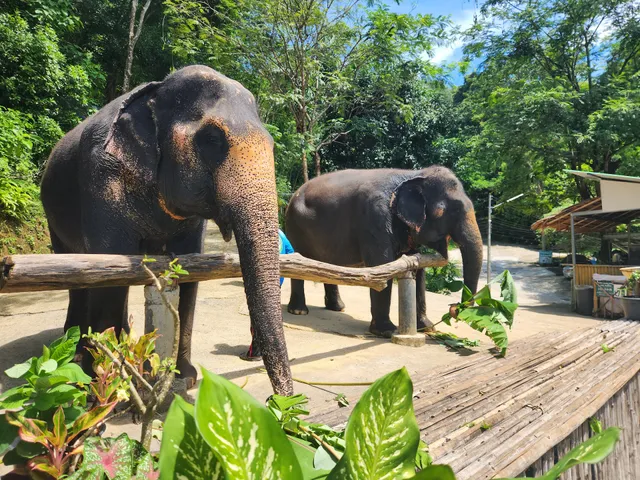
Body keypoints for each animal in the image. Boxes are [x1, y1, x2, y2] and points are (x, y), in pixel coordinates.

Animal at [40, 65, 293, 395]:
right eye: (211, 139)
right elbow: (110, 270)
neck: (156, 91)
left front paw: (184, 376)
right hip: (52, 214)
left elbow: (188, 272)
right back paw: (78, 354)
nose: (281, 401)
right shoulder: (101, 176)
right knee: (79, 276)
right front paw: (107, 387)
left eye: (271, 143)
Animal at [285, 166, 483, 337]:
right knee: (299, 263)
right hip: (295, 227)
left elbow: (417, 267)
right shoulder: (374, 217)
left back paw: (338, 308)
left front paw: (427, 328)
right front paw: (387, 331)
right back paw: (299, 311)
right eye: (452, 211)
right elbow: (382, 263)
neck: (413, 174)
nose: (455, 308)